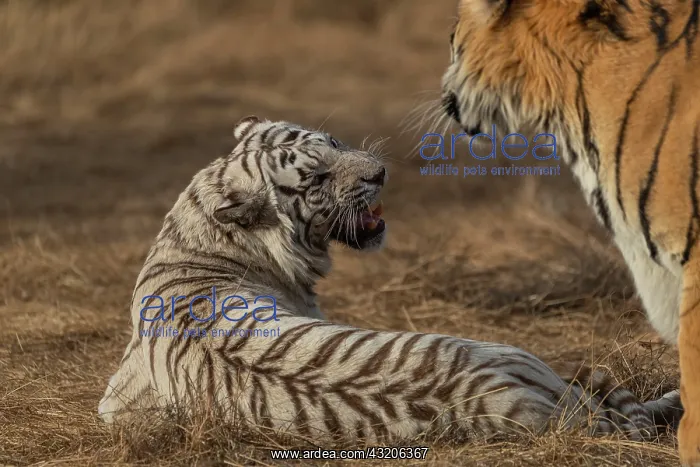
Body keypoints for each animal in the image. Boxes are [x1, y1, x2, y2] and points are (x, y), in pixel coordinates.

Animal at [98, 116, 681, 446]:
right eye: (315, 178)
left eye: (334, 142)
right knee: (621, 409)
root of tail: (510, 400)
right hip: (519, 354)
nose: (379, 174)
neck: (208, 234)